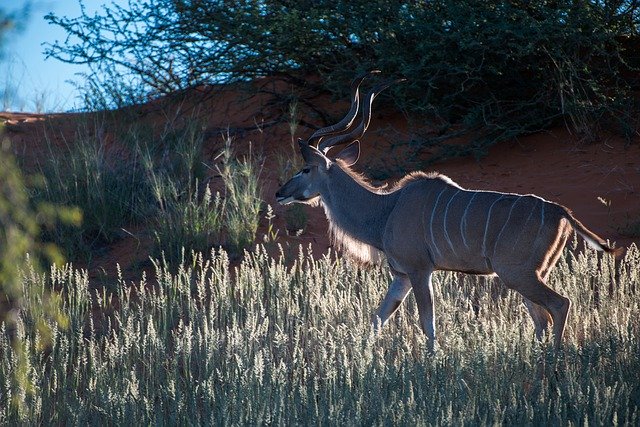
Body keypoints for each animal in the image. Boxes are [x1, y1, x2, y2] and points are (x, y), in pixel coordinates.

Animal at [274, 72, 620, 348]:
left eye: (305, 168)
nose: (279, 193)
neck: (385, 210)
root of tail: (561, 212)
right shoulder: (401, 275)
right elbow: (378, 318)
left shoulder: (420, 270)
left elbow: (428, 323)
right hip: (531, 274)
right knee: (541, 319)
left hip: (517, 274)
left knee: (559, 306)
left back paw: (553, 362)